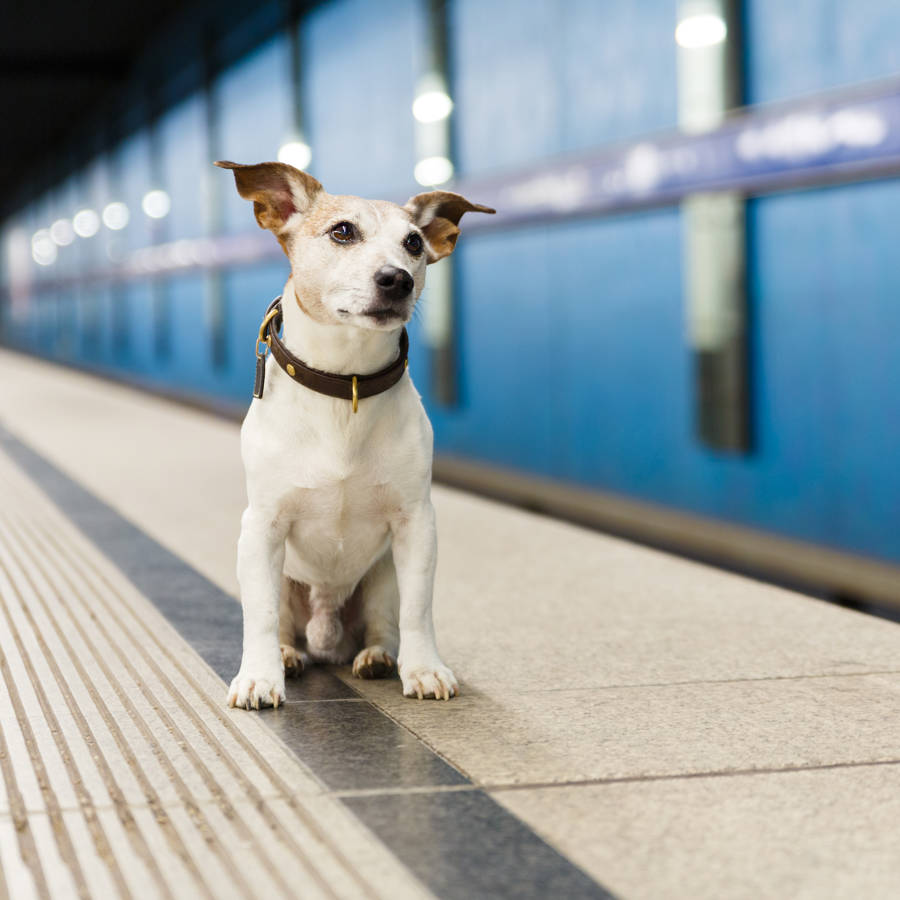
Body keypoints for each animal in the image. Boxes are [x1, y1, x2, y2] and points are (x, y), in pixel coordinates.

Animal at [214, 163, 496, 712]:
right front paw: (258, 677)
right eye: (342, 231)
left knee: (386, 623)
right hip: (285, 579)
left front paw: (424, 668)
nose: (397, 279)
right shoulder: (260, 527)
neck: (347, 384)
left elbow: (419, 610)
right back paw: (288, 656)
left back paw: (378, 657)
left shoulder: (416, 525)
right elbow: (259, 617)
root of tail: (327, 639)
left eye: (413, 243)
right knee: (282, 625)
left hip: (381, 577)